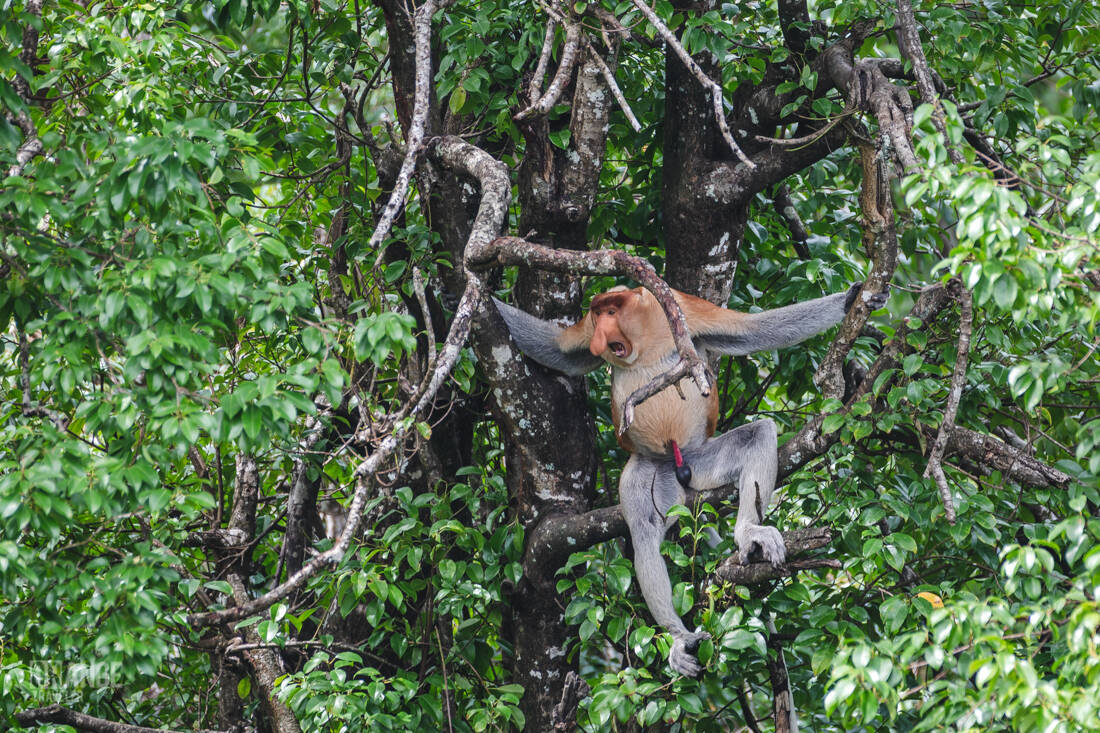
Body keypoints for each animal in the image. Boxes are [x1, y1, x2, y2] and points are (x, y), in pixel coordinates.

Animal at [493, 281, 888, 676]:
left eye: (611, 312)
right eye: (598, 314)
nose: (601, 335)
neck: (643, 337)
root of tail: (675, 460)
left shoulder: (680, 306)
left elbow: (752, 330)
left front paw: (853, 299)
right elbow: (557, 349)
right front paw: (486, 296)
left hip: (700, 458)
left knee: (758, 434)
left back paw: (750, 534)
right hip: (647, 469)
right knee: (644, 530)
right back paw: (678, 636)